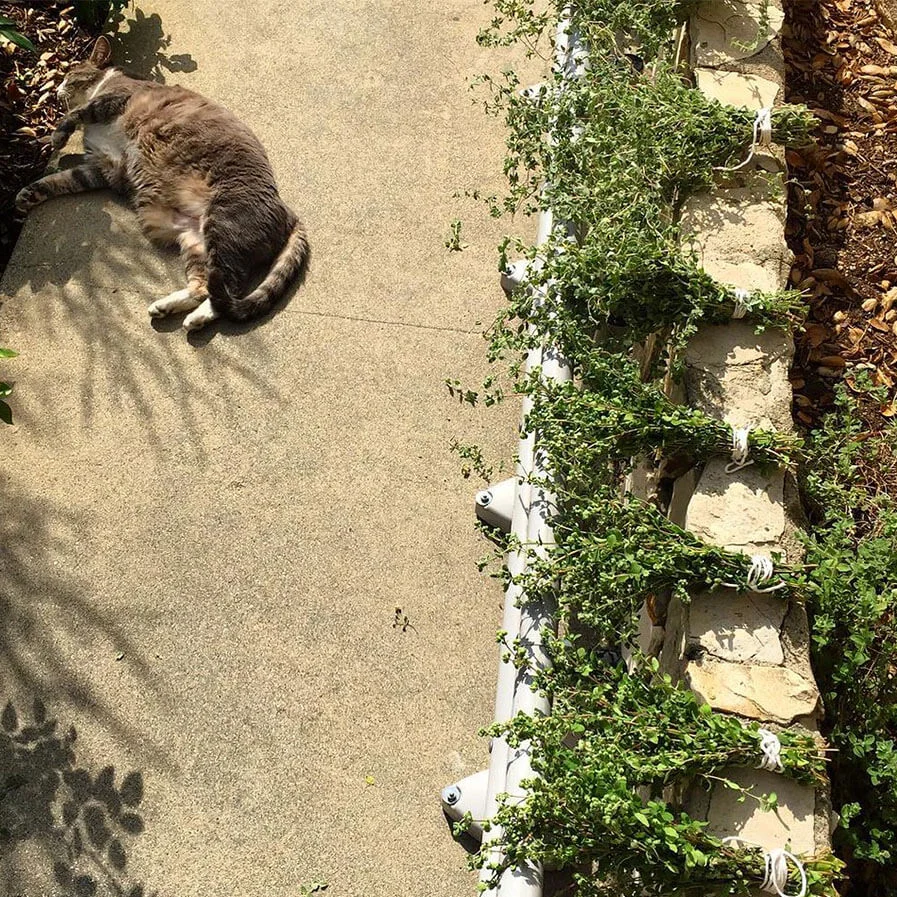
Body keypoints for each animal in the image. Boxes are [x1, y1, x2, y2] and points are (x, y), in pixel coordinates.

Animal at [13, 37, 308, 332]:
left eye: (70, 74)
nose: (55, 89)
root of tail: (288, 211)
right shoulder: (103, 167)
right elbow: (59, 181)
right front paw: (27, 195)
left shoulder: (114, 99)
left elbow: (76, 113)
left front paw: (56, 137)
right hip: (194, 241)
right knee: (203, 287)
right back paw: (169, 308)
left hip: (224, 224)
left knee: (227, 289)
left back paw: (195, 316)